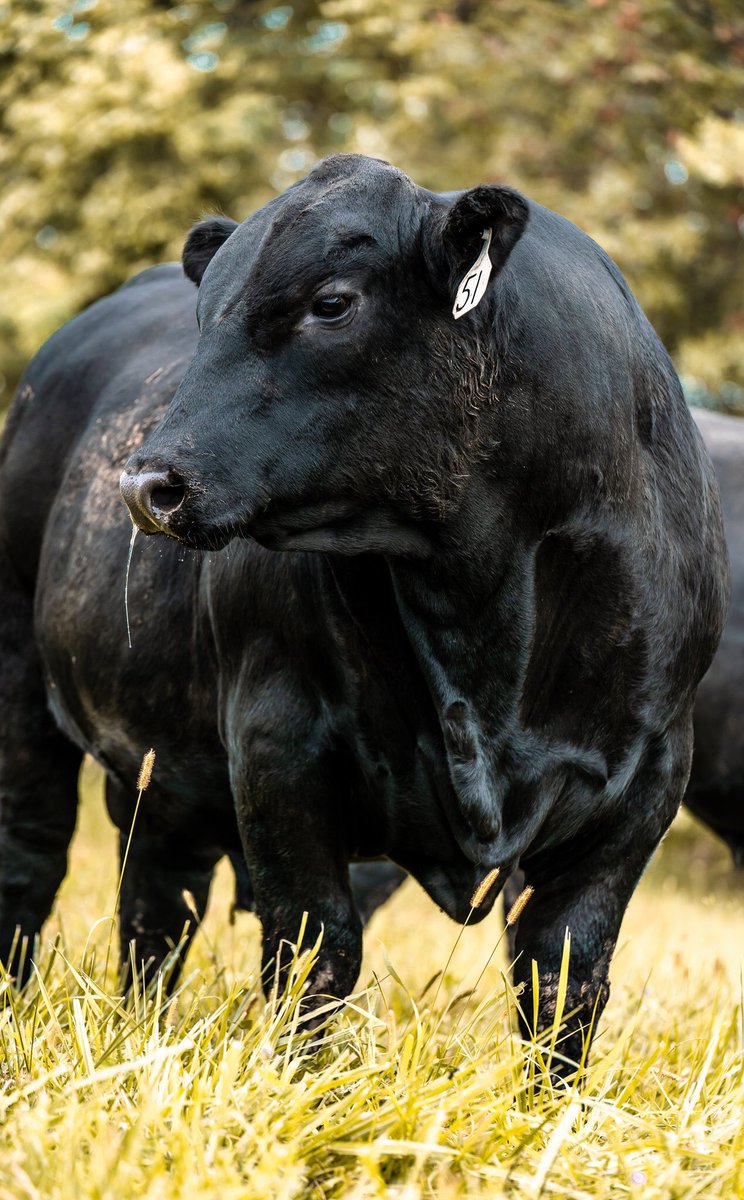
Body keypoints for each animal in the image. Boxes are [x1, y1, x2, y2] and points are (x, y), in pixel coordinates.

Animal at [0, 154, 728, 1074]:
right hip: (20, 669)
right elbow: (314, 952)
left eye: (332, 303)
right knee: (30, 860)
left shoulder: (646, 779)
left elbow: (565, 979)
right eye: (205, 318)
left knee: (157, 903)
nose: (144, 484)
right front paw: (301, 1087)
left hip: (162, 755)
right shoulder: (277, 742)